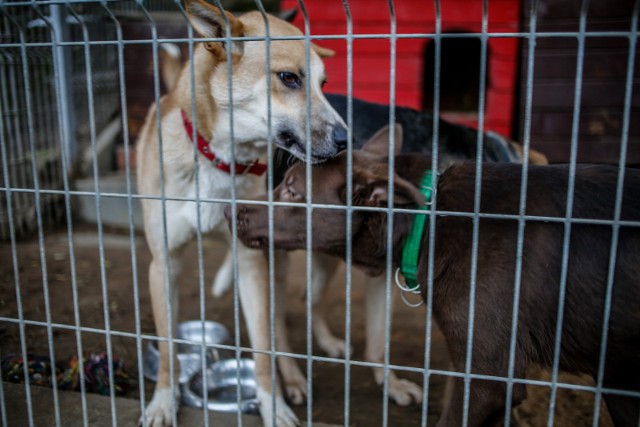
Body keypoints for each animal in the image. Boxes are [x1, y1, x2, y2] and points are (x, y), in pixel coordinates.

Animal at [134, 1, 344, 426]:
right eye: (289, 78)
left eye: (324, 84)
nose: (347, 139)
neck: (221, 160)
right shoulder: (164, 263)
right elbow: (167, 347)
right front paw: (163, 400)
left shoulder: (251, 260)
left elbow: (264, 348)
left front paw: (272, 404)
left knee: (279, 325)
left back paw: (293, 377)